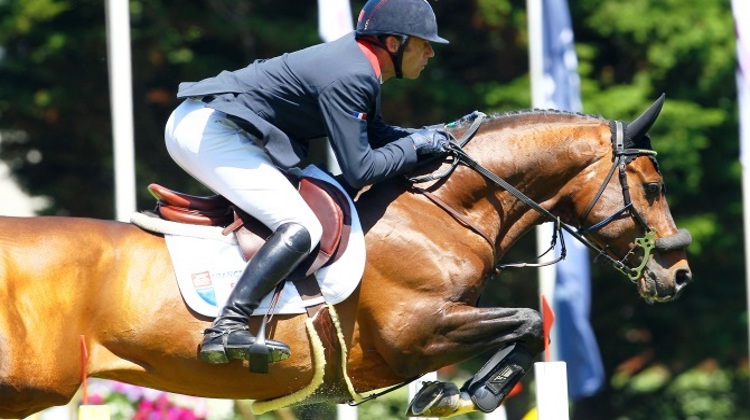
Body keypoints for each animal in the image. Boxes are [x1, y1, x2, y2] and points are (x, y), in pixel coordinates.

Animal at [0, 95, 692, 416]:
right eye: (653, 188)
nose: (678, 274)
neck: (440, 211)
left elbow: (529, 329)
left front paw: (453, 394)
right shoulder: (418, 331)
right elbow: (527, 323)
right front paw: (472, 392)